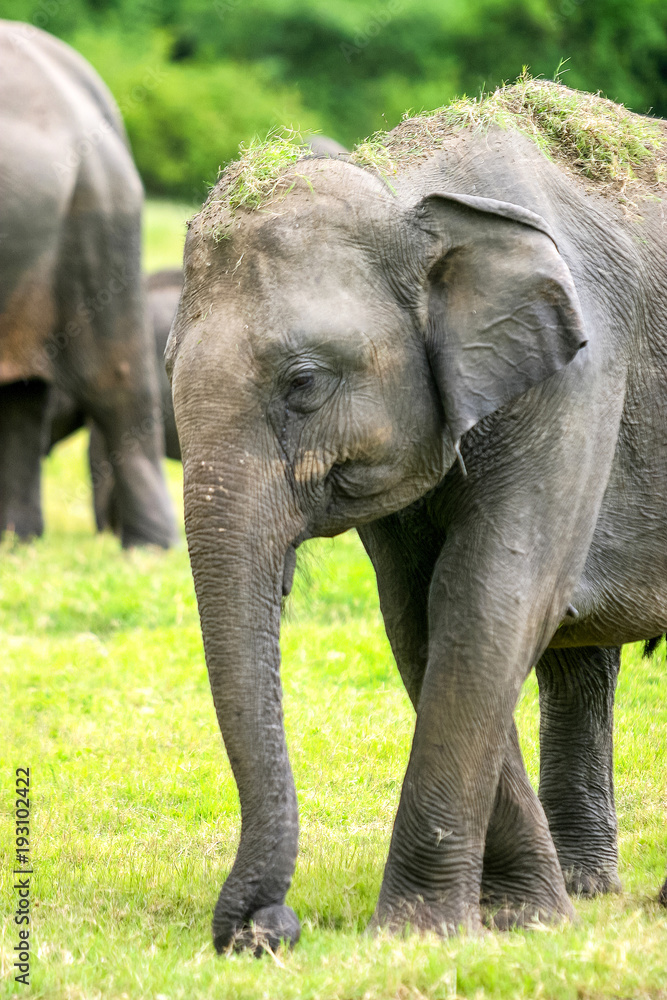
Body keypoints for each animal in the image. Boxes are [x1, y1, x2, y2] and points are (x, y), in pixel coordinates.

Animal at [167, 82, 667, 948]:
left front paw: (420, 932)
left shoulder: (579, 372)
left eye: (304, 382)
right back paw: (586, 889)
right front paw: (524, 919)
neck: (405, 191)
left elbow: (487, 598)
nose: (268, 928)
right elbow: (419, 618)